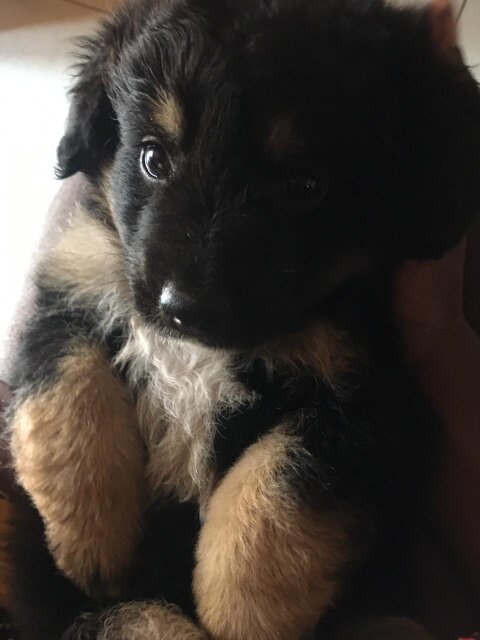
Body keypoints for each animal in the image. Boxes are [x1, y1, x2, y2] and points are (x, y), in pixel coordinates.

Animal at [3, 1, 480, 640]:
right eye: (153, 158)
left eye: (303, 185)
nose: (185, 309)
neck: (198, 353)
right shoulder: (68, 296)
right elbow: (68, 398)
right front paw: (90, 544)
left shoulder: (370, 402)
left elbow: (273, 496)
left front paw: (236, 614)